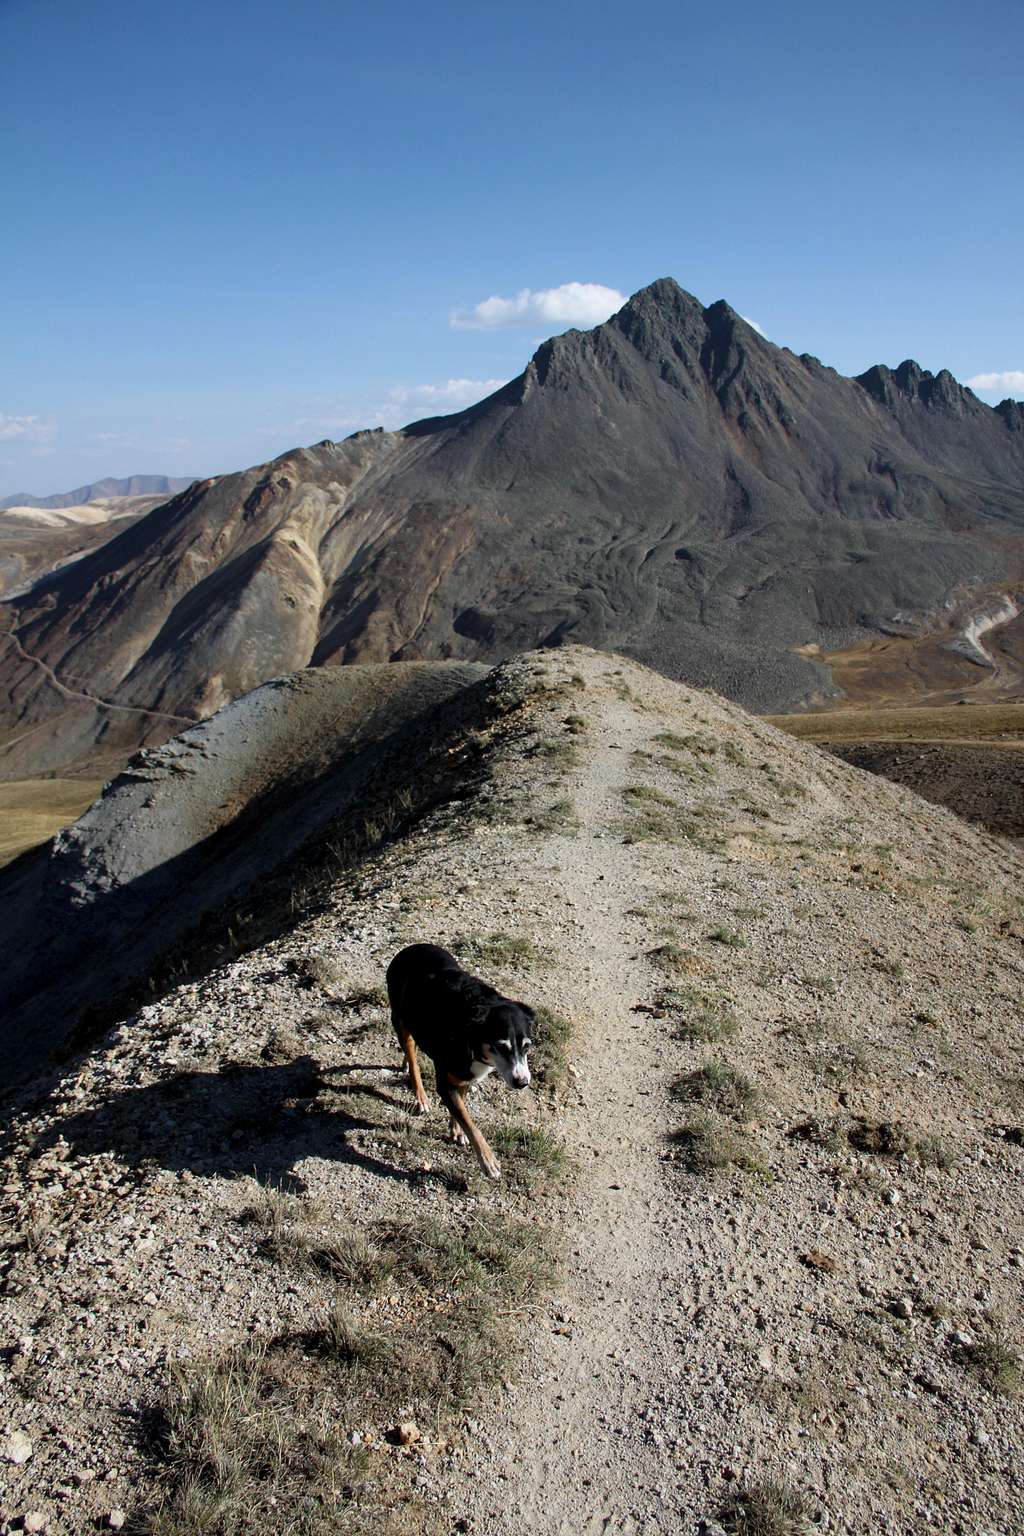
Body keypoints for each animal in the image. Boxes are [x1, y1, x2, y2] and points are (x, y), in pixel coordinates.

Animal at [386, 940, 537, 1179]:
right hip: (401, 1020)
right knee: (413, 1059)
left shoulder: (465, 1076)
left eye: (527, 1047)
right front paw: (488, 1161)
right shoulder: (445, 1083)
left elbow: (461, 1108)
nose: (522, 1082)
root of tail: (410, 948)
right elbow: (469, 1121)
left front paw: (456, 1131)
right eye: (500, 1047)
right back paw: (420, 1096)